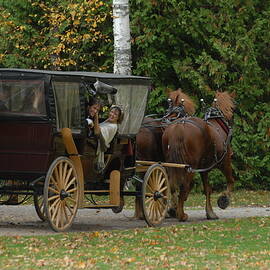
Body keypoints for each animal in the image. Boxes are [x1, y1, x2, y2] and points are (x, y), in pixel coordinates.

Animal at [161, 92, 235, 220]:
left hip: (173, 164)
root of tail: (179, 126)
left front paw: (210, 212)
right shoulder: (225, 162)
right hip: (191, 166)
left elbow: (207, 189)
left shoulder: (204, 168)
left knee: (172, 185)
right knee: (183, 186)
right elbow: (230, 181)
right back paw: (181, 215)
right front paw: (223, 199)